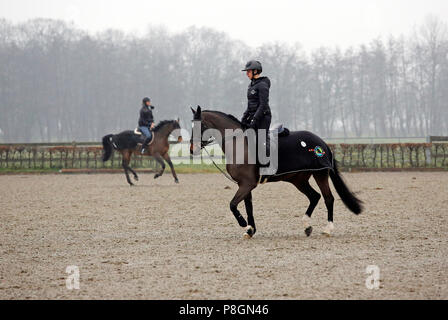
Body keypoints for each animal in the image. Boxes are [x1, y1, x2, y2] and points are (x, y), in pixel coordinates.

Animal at [190, 106, 364, 239]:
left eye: (200, 126)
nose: (192, 149)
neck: (238, 144)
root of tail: (322, 143)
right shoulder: (244, 185)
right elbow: (248, 207)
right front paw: (250, 230)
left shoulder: (247, 184)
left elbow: (233, 205)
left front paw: (244, 225)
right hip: (299, 180)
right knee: (315, 196)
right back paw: (307, 226)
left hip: (320, 174)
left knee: (328, 198)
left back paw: (327, 229)